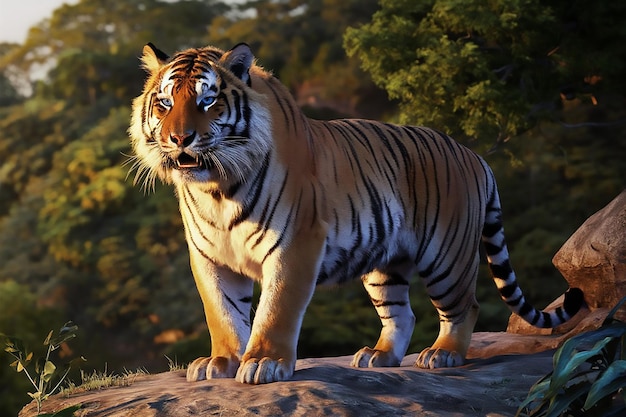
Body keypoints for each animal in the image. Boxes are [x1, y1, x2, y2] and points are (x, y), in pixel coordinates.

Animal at [129, 42, 584, 384]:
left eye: (207, 100)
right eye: (165, 103)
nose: (180, 138)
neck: (216, 190)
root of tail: (474, 155)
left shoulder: (295, 244)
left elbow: (276, 310)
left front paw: (264, 363)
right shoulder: (208, 256)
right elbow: (222, 313)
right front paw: (220, 363)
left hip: (446, 256)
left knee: (464, 306)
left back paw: (443, 355)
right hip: (386, 264)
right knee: (403, 313)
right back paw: (378, 357)